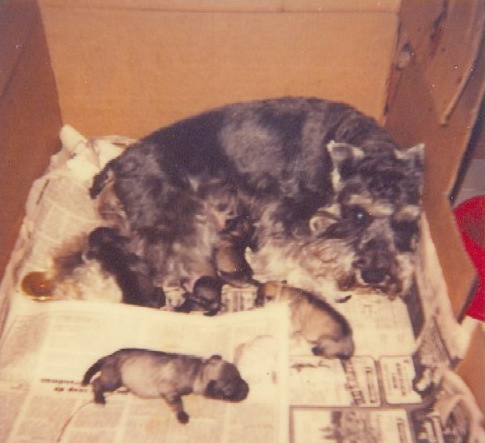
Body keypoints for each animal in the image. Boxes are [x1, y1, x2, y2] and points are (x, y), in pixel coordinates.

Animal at [81, 97, 423, 309]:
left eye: (406, 223)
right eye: (359, 214)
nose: (377, 275)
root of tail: (122, 160)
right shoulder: (284, 216)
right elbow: (291, 256)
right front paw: (322, 285)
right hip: (183, 223)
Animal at [82, 348, 249, 424]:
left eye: (240, 376)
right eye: (228, 393)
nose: (247, 388)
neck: (199, 370)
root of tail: (109, 357)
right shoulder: (170, 391)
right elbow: (178, 403)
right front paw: (182, 415)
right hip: (113, 380)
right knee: (96, 383)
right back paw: (99, 399)